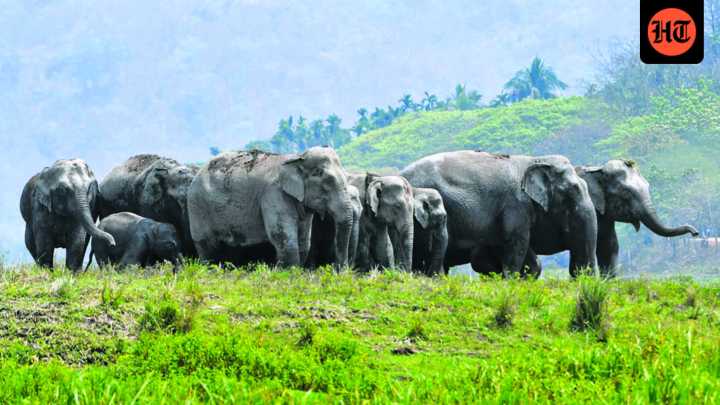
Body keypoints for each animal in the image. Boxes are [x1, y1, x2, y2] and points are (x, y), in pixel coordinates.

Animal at [188, 147, 355, 267]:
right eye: (326, 181)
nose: (338, 270)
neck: (298, 158)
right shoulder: (274, 194)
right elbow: (282, 236)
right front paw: (290, 273)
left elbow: (303, 241)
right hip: (198, 207)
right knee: (208, 246)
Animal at [400, 151, 598, 277]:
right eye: (572, 191)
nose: (579, 276)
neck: (534, 160)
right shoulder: (516, 206)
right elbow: (517, 243)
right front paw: (510, 280)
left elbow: (522, 250)